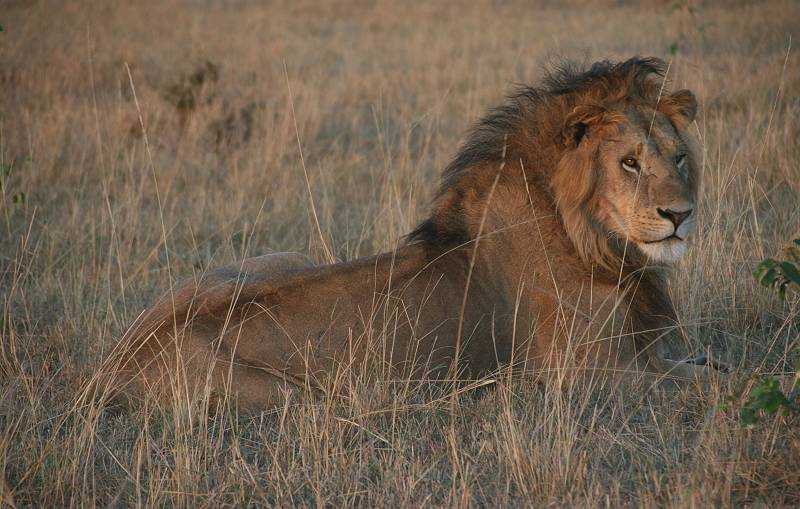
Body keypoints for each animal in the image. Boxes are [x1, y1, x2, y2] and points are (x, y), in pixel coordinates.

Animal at [97, 57, 728, 410]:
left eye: (678, 157)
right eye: (629, 163)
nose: (680, 214)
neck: (592, 237)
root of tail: (114, 364)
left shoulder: (640, 358)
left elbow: (711, 369)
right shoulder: (589, 375)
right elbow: (723, 384)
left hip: (283, 257)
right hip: (296, 398)